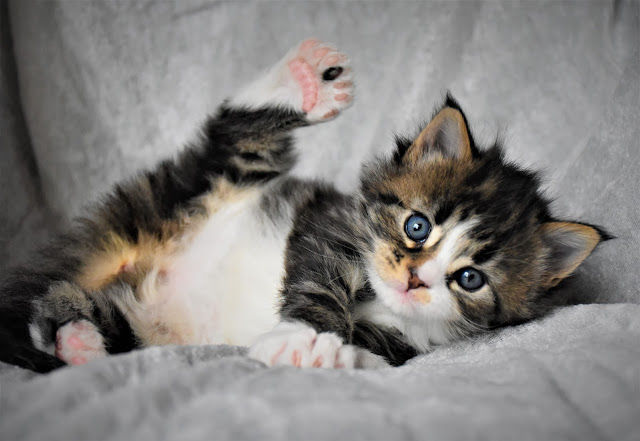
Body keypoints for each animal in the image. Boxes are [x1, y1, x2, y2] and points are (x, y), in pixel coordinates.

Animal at [0, 39, 604, 372]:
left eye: (470, 279)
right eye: (417, 226)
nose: (415, 278)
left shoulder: (408, 341)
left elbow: (374, 344)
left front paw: (328, 353)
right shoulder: (327, 219)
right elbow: (316, 282)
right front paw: (302, 336)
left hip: (145, 324)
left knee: (73, 315)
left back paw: (80, 340)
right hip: (198, 191)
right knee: (231, 145)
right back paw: (303, 83)